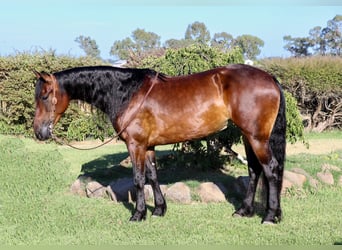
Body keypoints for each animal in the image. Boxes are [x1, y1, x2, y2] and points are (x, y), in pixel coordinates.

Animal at [34, 64, 286, 225]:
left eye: (44, 96)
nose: (39, 132)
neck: (126, 93)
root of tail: (270, 79)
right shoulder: (148, 146)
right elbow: (153, 176)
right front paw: (159, 210)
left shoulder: (135, 145)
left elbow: (138, 179)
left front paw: (138, 214)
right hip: (248, 136)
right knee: (254, 171)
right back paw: (244, 211)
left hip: (257, 137)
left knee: (271, 170)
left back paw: (270, 216)